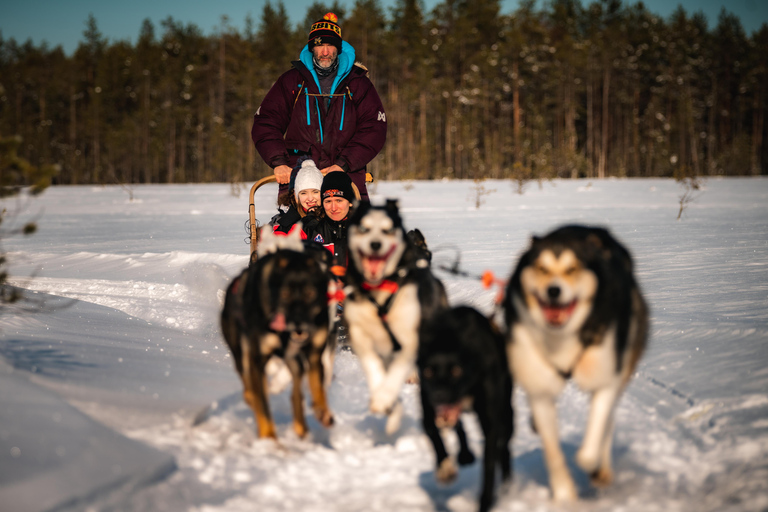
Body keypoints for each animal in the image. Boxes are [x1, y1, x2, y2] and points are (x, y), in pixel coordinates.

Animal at [218, 230, 334, 438]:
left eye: (310, 293)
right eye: (285, 293)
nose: (299, 324)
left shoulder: (314, 353)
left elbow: (315, 385)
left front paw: (321, 411)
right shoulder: (258, 356)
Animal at [416, 306, 512, 510]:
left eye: (456, 370)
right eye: (428, 372)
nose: (439, 396)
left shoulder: (490, 422)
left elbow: (489, 463)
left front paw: (486, 501)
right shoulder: (428, 406)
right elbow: (431, 430)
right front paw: (444, 467)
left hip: (507, 414)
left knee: (504, 449)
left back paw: (508, 487)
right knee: (459, 427)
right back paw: (465, 454)